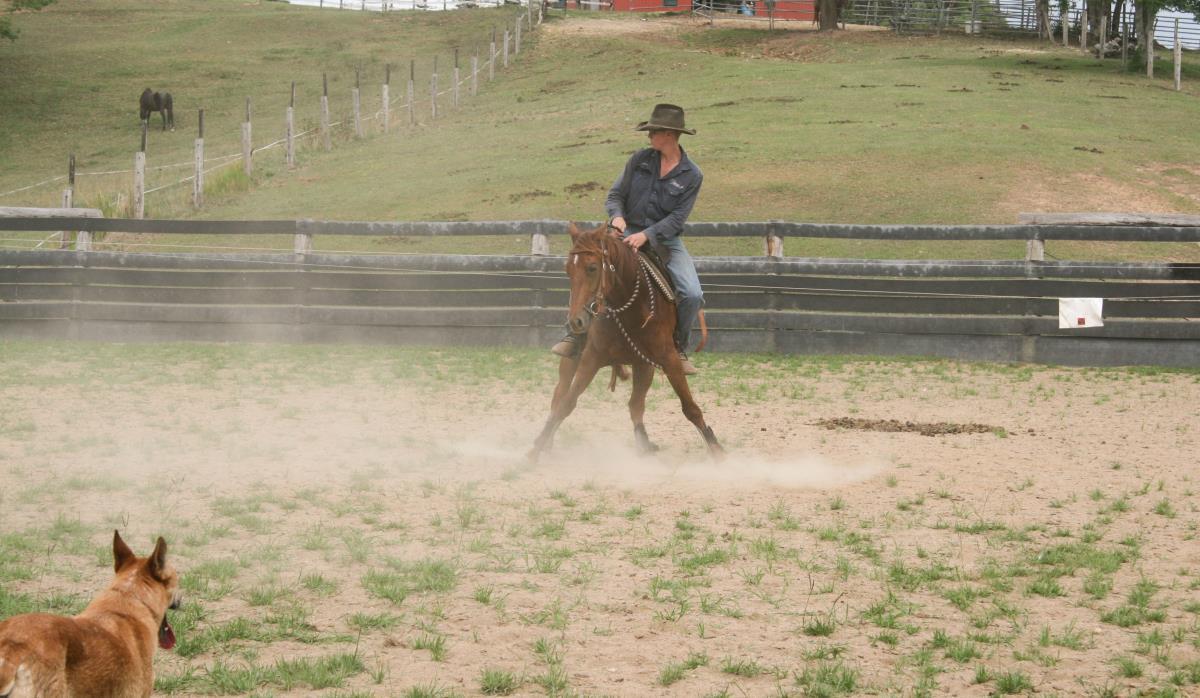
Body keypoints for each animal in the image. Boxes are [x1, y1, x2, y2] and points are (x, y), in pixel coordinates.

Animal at [528, 223, 723, 463]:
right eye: (568, 270)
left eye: (592, 267)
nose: (576, 321)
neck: (632, 307)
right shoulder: (591, 358)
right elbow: (566, 404)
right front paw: (535, 451)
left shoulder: (669, 360)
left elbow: (690, 408)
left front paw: (716, 450)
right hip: (571, 361)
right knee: (558, 397)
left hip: (644, 366)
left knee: (635, 405)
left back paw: (644, 445)